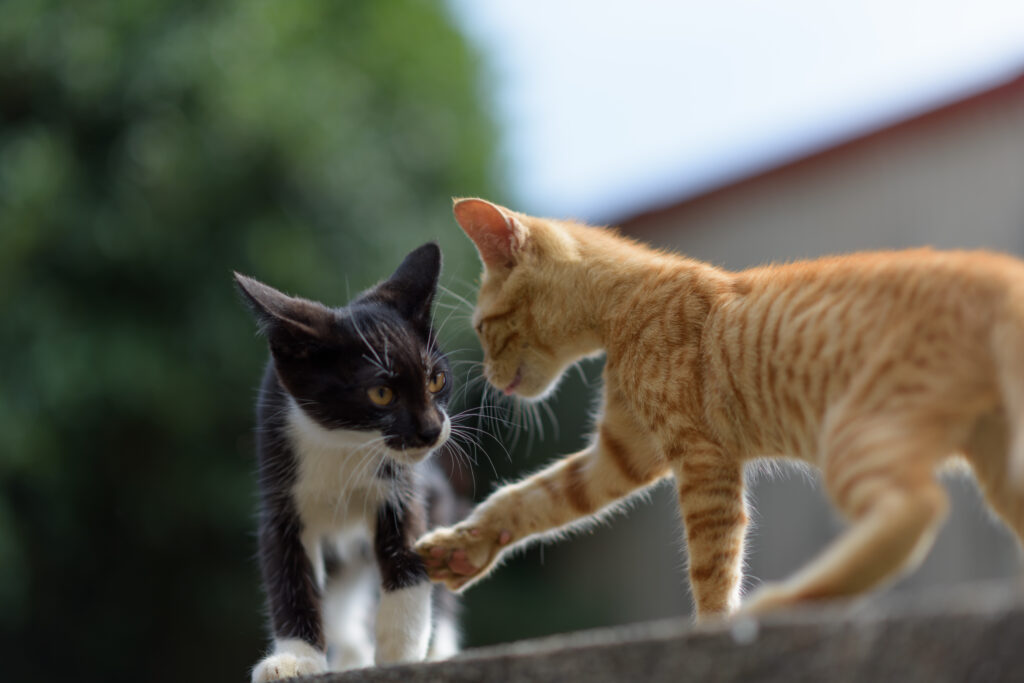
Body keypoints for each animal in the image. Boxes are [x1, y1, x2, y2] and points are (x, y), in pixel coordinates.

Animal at [235, 242, 460, 679]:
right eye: (381, 394)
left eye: (436, 380)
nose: (431, 430)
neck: (345, 442)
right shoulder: (280, 495)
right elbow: (290, 577)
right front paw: (295, 659)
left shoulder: (404, 486)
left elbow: (409, 557)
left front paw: (401, 652)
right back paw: (352, 653)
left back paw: (439, 651)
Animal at [411, 198, 1024, 618]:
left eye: (482, 329)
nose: (490, 377)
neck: (624, 304)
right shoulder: (621, 454)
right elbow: (533, 496)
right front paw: (467, 546)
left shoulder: (703, 459)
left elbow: (712, 566)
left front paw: (712, 627)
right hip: (997, 465)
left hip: (855, 431)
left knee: (914, 509)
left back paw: (788, 601)